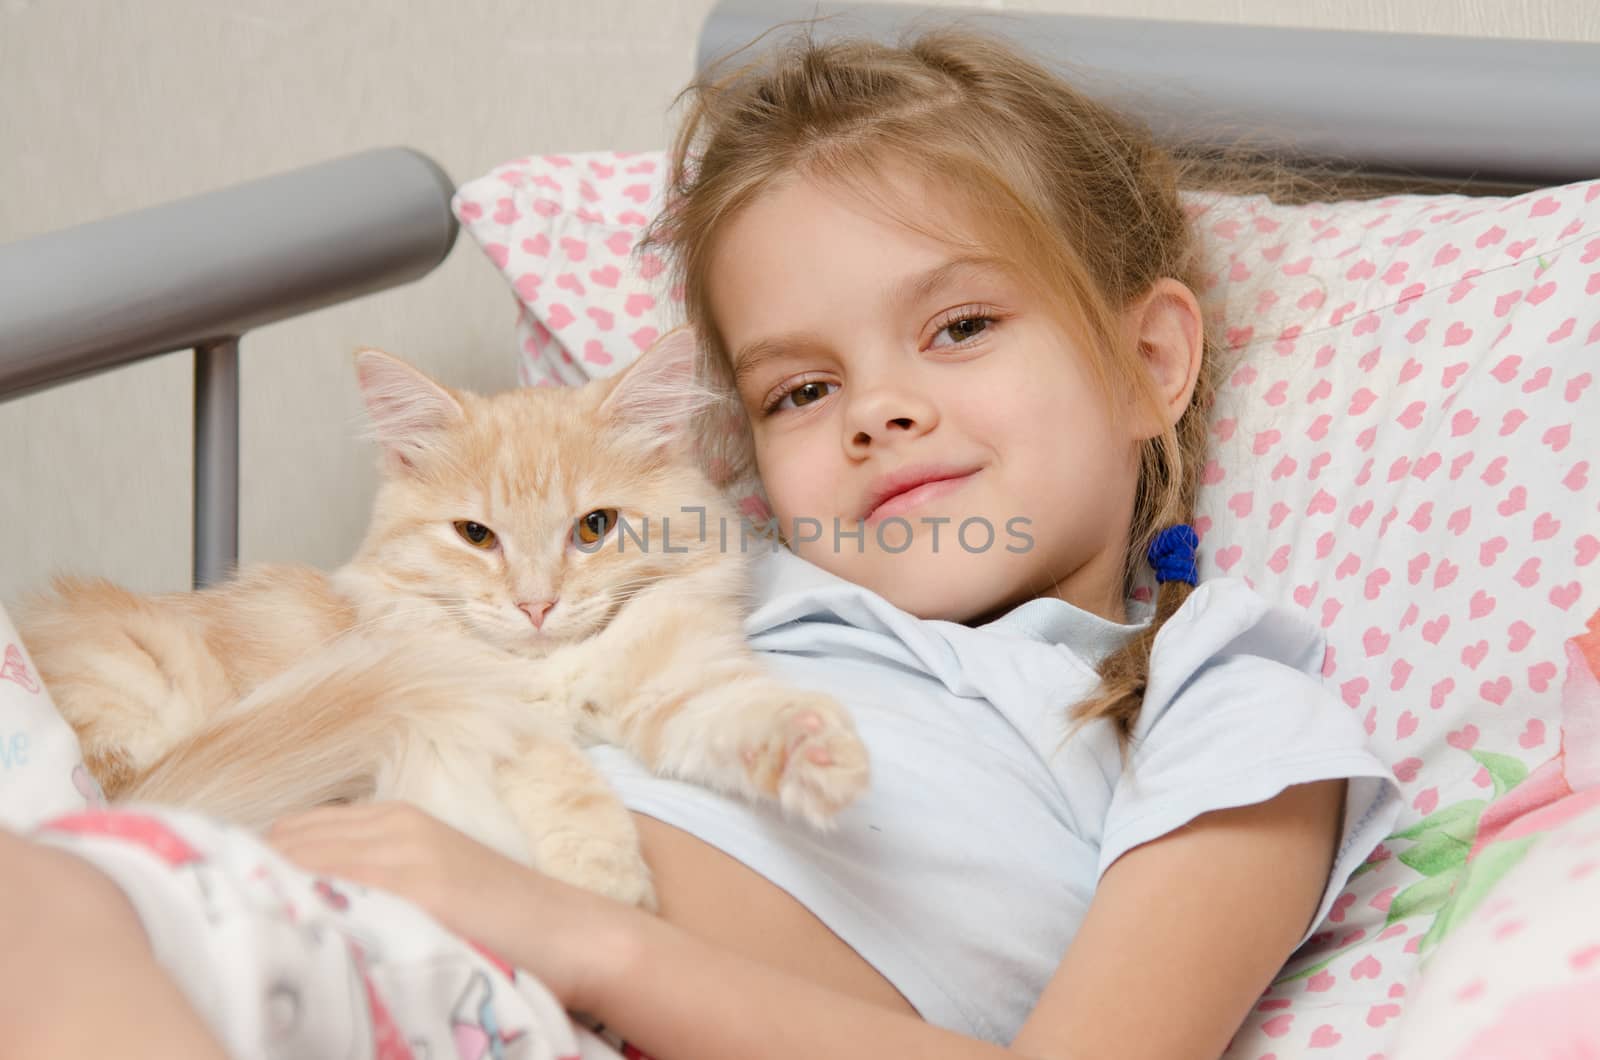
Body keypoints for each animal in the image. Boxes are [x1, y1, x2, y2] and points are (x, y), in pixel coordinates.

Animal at [15, 329, 876, 903]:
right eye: (475, 535)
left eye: (594, 528)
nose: (536, 604)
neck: (550, 671)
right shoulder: (459, 704)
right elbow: (564, 778)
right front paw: (604, 882)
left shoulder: (675, 680)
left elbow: (744, 710)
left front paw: (820, 754)